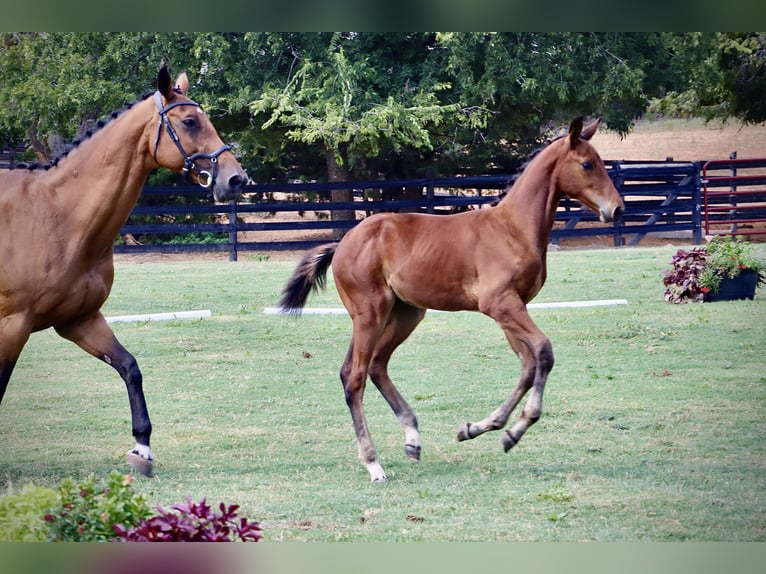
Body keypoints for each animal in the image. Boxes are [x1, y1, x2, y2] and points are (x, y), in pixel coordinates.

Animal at [0, 66, 246, 476]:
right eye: (190, 121)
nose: (236, 179)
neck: (57, 214)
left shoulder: (79, 320)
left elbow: (130, 367)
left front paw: (141, 448)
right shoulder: (12, 325)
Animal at [282, 116, 624, 482]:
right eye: (587, 164)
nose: (618, 209)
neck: (512, 229)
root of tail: (343, 243)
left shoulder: (513, 307)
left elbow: (528, 364)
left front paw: (485, 429)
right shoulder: (499, 304)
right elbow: (543, 351)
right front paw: (513, 428)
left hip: (404, 314)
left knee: (373, 366)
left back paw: (412, 439)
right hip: (370, 313)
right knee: (355, 377)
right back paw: (374, 464)